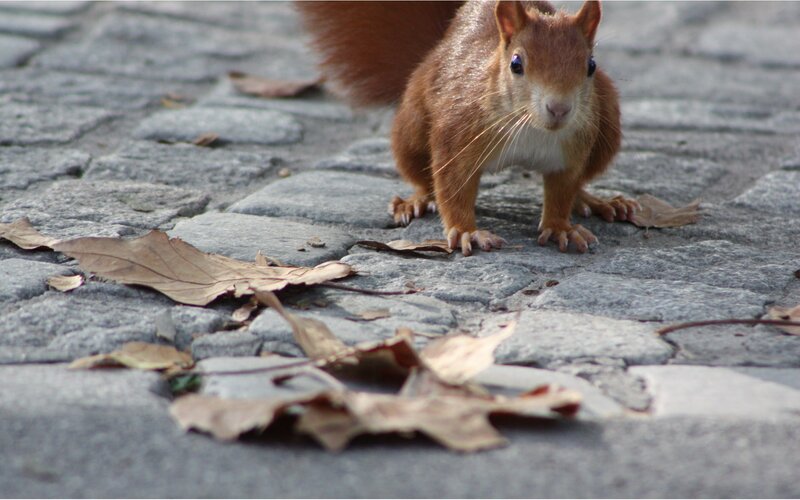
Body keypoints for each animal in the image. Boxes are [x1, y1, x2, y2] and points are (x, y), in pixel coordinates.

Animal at [296, 0, 638, 255]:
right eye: (516, 64)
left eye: (591, 65)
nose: (559, 109)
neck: (531, 127)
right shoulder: (458, 132)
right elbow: (453, 185)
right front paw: (466, 232)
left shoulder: (571, 150)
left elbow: (563, 188)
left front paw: (560, 227)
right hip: (412, 126)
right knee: (422, 175)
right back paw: (416, 200)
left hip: (607, 122)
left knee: (581, 182)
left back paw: (596, 201)